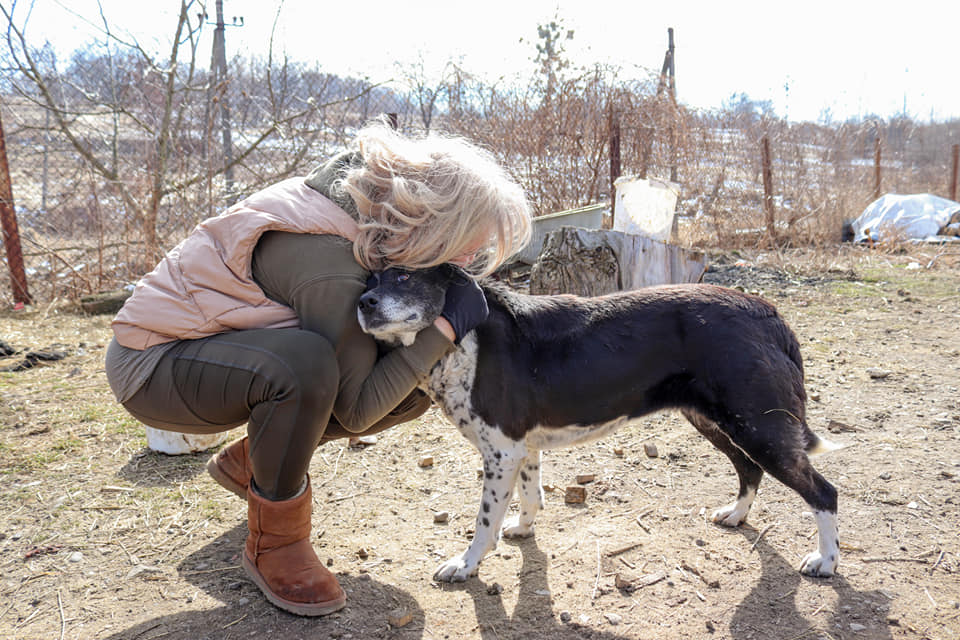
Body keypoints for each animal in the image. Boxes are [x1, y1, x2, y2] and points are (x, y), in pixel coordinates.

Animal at [358, 268, 840, 584]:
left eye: (404, 278)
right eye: (371, 280)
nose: (363, 304)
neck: (465, 339)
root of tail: (767, 310)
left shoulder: (501, 451)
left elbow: (483, 521)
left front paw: (466, 563)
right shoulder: (520, 447)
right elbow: (530, 495)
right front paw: (524, 529)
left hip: (758, 428)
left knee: (824, 492)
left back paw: (826, 561)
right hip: (719, 423)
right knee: (749, 469)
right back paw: (737, 515)